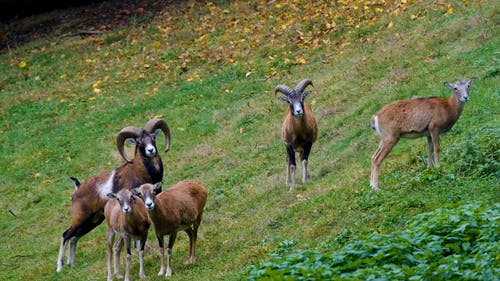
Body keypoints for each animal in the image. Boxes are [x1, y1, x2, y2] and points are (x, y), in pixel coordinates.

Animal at [56, 118, 171, 272]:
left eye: (153, 137)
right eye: (139, 142)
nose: (151, 150)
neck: (143, 172)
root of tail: (77, 188)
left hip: (93, 221)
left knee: (74, 238)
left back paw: (71, 264)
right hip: (81, 219)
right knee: (66, 235)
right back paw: (60, 267)